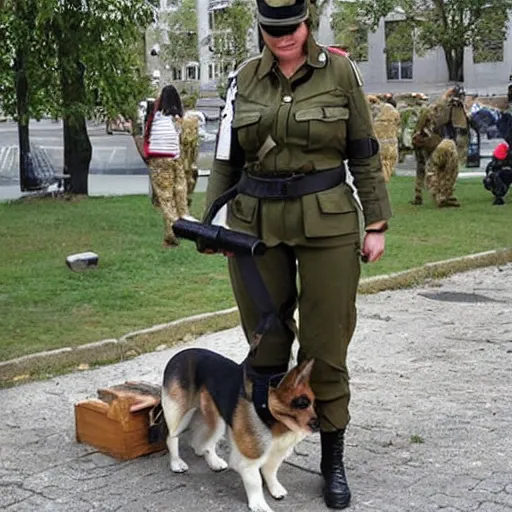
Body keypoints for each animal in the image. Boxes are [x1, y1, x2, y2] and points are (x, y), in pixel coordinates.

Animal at [162, 348, 318, 512]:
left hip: (214, 418)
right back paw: (176, 463)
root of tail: (181, 353)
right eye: (302, 403)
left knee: (203, 443)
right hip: (180, 415)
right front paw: (259, 504)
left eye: (314, 403)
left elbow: (270, 471)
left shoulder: (276, 452)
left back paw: (213, 462)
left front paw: (274, 488)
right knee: (172, 438)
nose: (319, 424)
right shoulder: (249, 461)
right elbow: (255, 481)